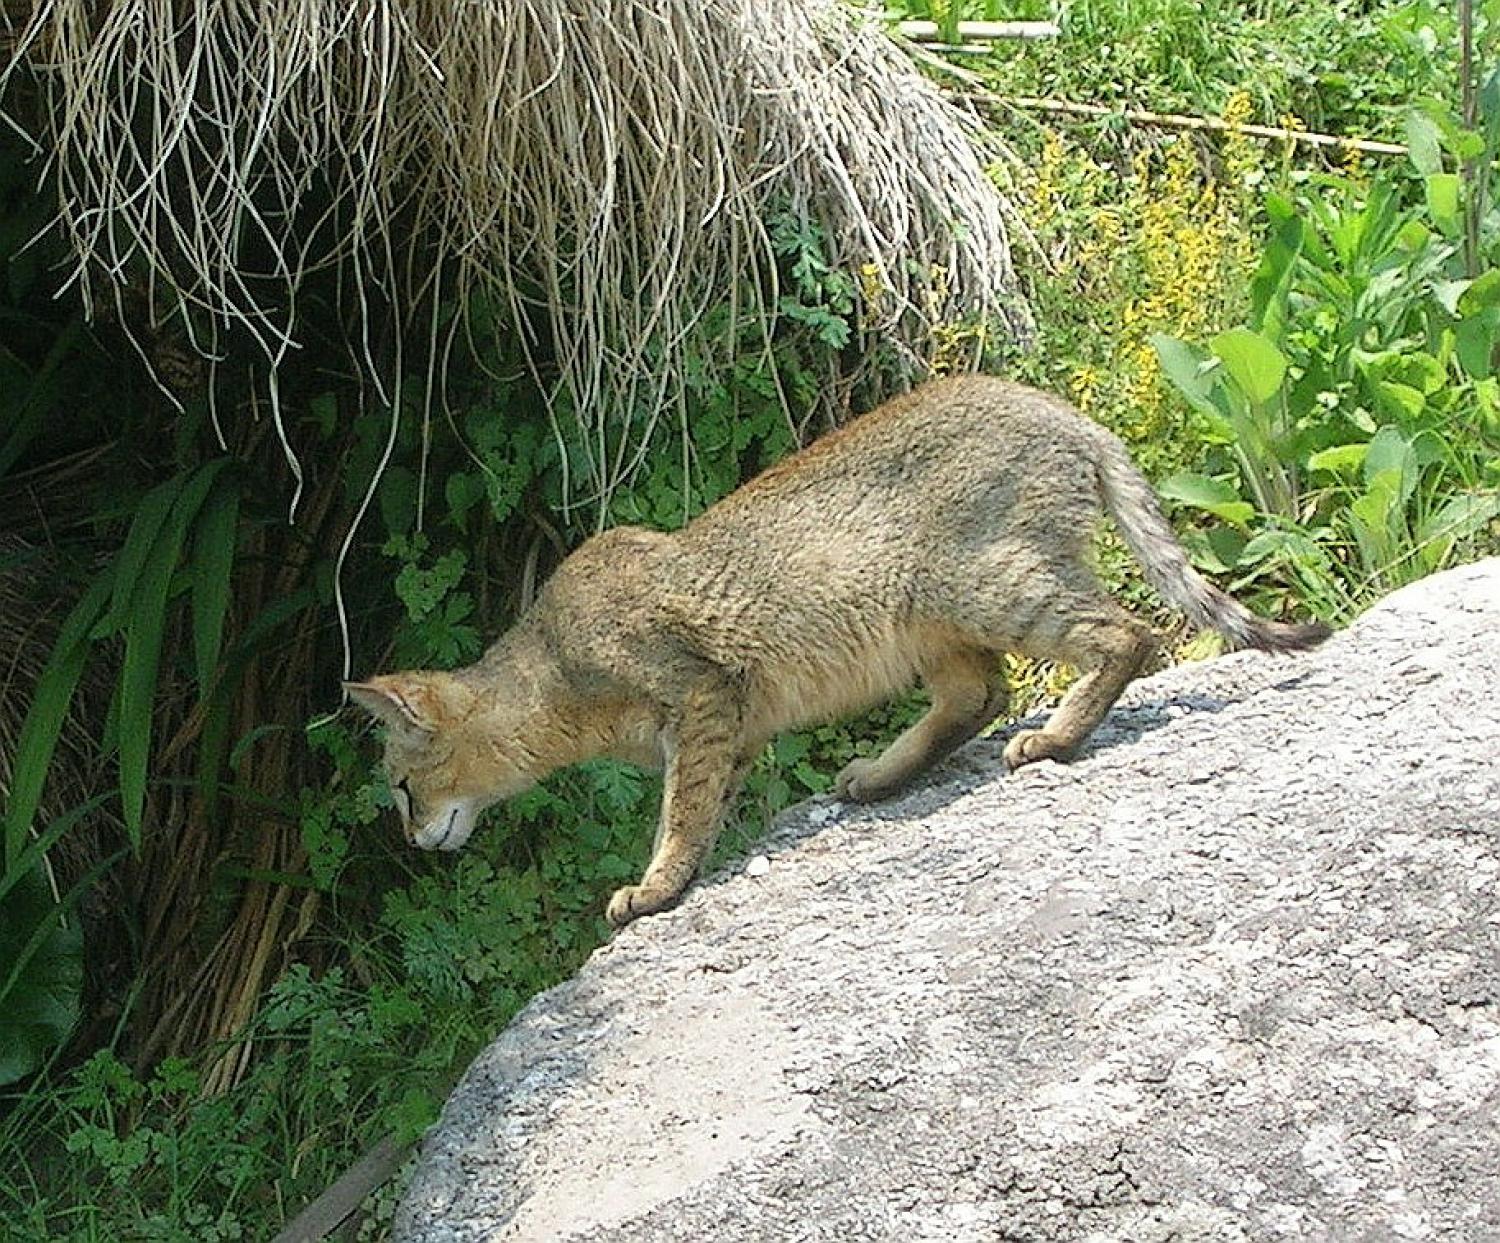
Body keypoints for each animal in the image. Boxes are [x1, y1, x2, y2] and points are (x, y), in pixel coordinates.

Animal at [348, 373, 1326, 923]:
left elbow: (680, 811)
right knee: (980, 694)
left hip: (989, 583)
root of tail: (1070, 415)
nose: (408, 838)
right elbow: (704, 807)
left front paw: (653, 888)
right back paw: (879, 775)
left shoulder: (700, 694)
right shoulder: (732, 721)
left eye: (400, 785)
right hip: (934, 621)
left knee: (1127, 634)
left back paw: (1054, 737)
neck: (553, 668)